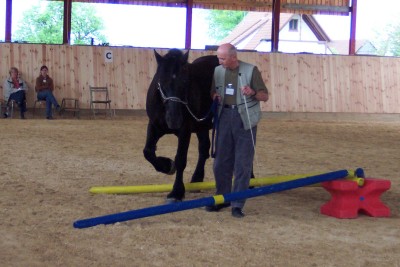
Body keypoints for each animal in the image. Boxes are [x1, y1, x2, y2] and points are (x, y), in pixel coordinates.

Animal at [144, 49, 219, 202]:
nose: (174, 120)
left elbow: (180, 159)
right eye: (161, 82)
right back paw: (196, 179)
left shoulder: (185, 131)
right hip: (201, 127)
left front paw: (176, 192)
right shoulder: (154, 126)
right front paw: (167, 166)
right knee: (204, 148)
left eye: (185, 82)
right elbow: (148, 152)